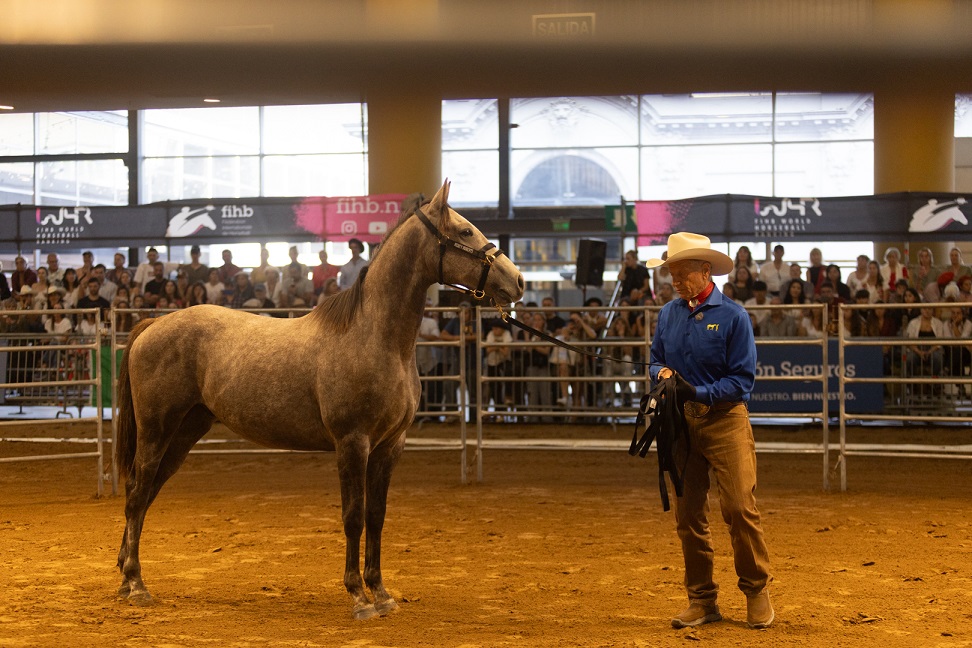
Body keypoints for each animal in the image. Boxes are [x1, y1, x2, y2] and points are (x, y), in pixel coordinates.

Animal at [114, 180, 524, 619]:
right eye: (465, 231)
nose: (517, 280)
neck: (375, 337)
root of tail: (153, 324)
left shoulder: (389, 446)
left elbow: (377, 516)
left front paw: (381, 593)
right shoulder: (352, 442)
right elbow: (354, 516)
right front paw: (358, 597)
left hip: (185, 431)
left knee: (146, 492)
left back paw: (124, 575)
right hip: (157, 430)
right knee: (137, 493)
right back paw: (136, 584)